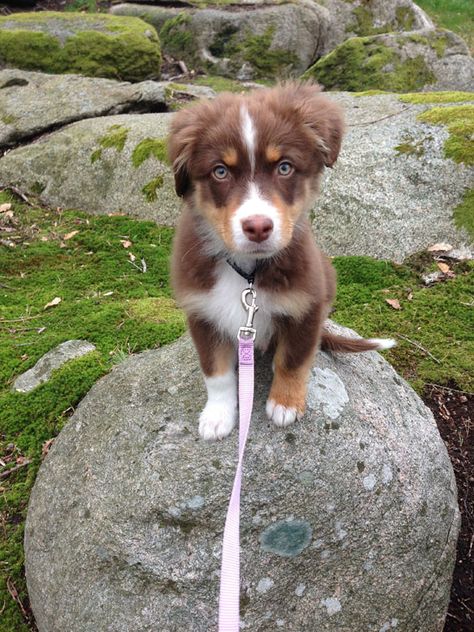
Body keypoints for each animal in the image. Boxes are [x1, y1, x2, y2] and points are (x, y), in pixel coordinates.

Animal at [168, 80, 394, 440]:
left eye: (284, 167)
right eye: (220, 171)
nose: (258, 227)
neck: (247, 273)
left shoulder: (307, 306)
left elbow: (292, 361)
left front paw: (285, 404)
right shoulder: (202, 312)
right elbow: (216, 372)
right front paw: (218, 415)